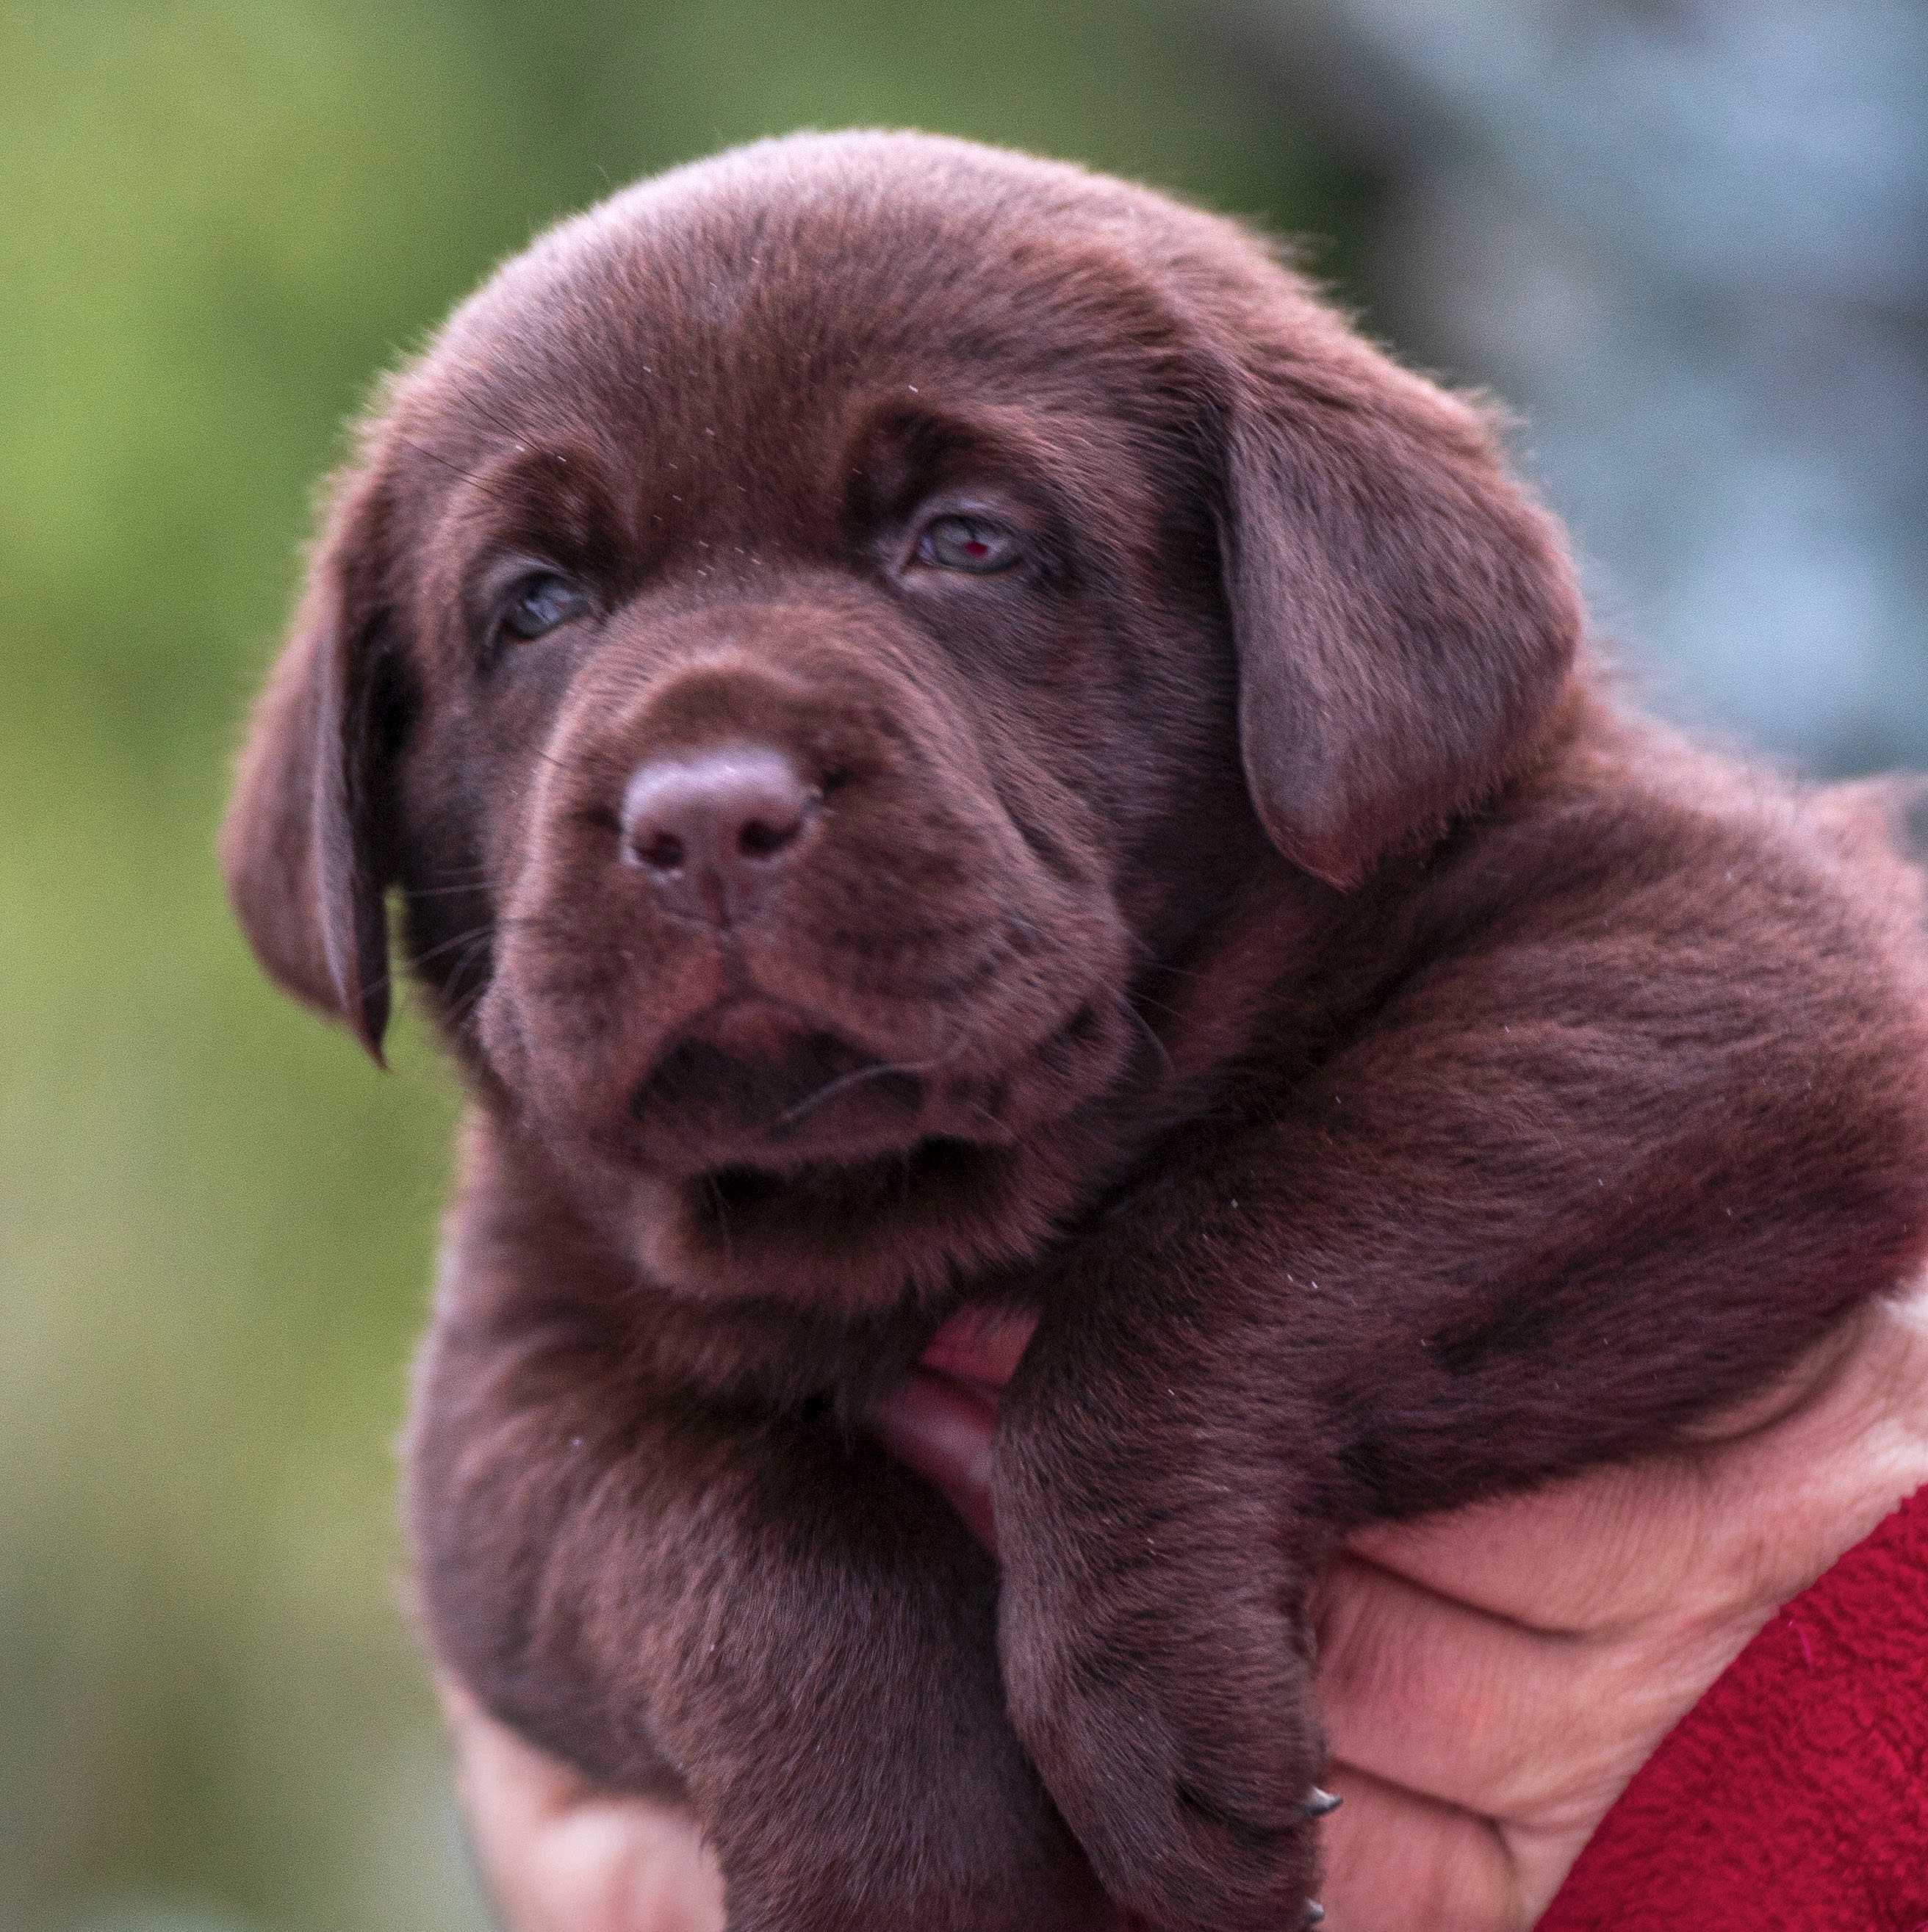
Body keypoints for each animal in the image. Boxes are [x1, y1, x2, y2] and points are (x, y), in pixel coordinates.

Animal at [219, 128, 1928, 1924]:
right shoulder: (502, 1395)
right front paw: (909, 1871)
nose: (700, 817)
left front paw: (1145, 1701)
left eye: (966, 542)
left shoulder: (1731, 950)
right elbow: (720, 1520)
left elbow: (1231, 1259)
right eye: (536, 606)